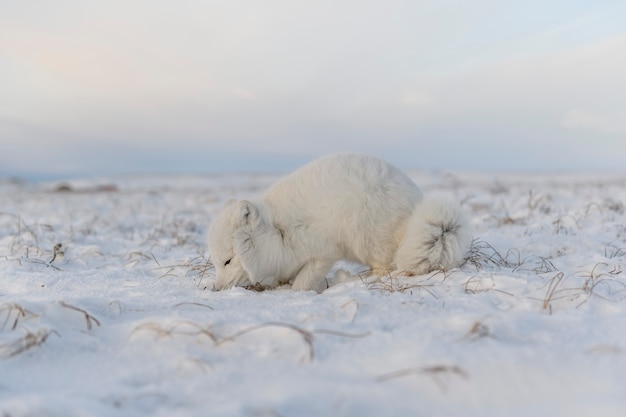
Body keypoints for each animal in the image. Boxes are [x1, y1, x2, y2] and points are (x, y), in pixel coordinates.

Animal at [207, 151, 470, 290]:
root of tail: (416, 205)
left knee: (385, 268)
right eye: (217, 263)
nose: (216, 288)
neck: (278, 230)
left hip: (366, 236)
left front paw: (296, 293)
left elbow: (304, 280)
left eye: (228, 261)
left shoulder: (323, 252)